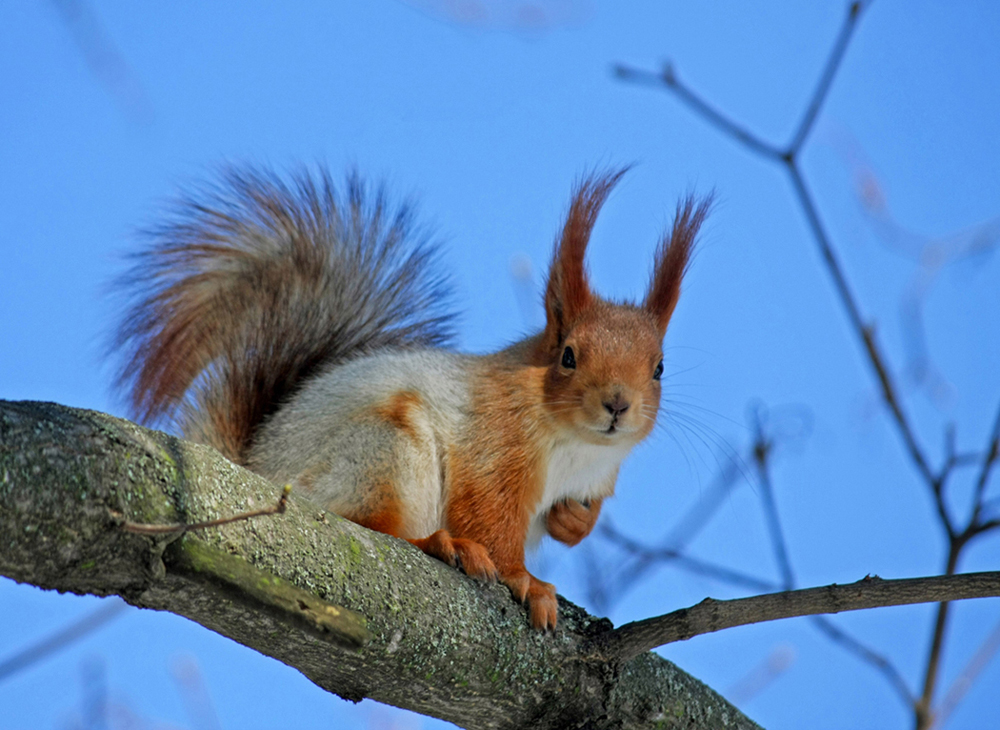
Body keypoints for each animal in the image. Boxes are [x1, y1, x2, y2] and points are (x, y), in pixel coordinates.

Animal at [113, 164, 712, 624]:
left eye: (659, 368)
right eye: (568, 356)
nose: (617, 405)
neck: (578, 445)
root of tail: (258, 468)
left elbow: (566, 519)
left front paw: (572, 522)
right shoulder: (495, 442)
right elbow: (490, 516)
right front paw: (525, 580)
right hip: (383, 451)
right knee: (372, 529)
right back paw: (437, 544)